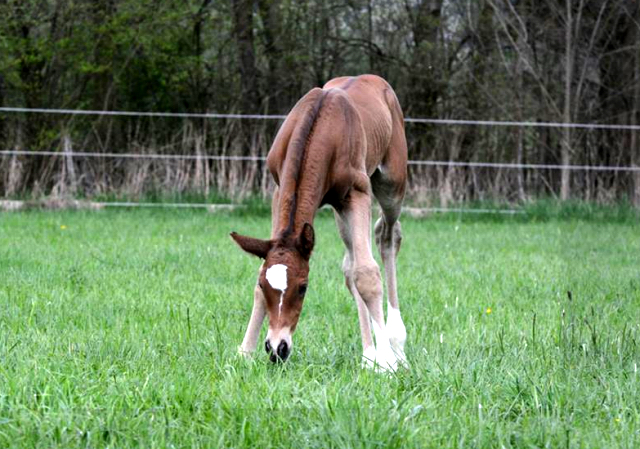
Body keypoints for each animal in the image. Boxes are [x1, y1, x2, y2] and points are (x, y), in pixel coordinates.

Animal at [232, 74, 408, 372]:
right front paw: (245, 352)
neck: (322, 127)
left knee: (387, 237)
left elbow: (368, 273)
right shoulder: (279, 188)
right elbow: (355, 271)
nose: (277, 348)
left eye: (303, 287)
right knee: (350, 264)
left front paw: (386, 363)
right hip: (341, 210)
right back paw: (368, 354)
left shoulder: (357, 193)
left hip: (391, 184)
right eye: (264, 286)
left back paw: (397, 346)